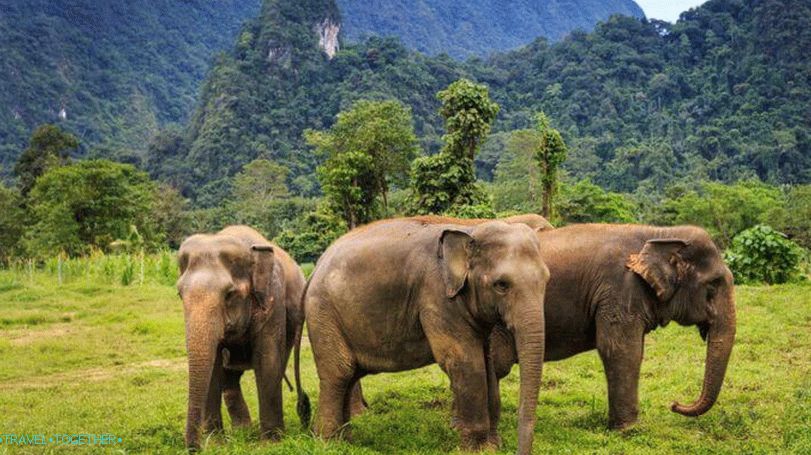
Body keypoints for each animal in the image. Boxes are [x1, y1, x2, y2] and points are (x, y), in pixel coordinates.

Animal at [176, 225, 310, 449]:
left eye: (229, 294)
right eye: (179, 294)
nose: (194, 449)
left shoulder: (273, 299)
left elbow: (268, 361)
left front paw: (271, 443)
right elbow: (213, 367)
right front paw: (216, 443)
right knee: (230, 379)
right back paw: (243, 431)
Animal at [304, 218, 550, 455]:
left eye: (546, 280)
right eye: (501, 285)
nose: (518, 450)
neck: (470, 230)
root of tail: (315, 269)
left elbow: (486, 362)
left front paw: (493, 444)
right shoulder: (437, 298)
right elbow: (464, 361)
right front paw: (479, 449)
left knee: (350, 374)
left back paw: (346, 441)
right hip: (323, 314)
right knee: (339, 373)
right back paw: (328, 442)